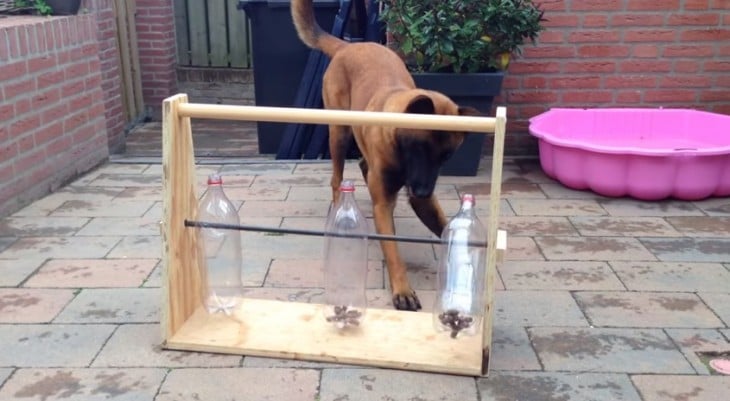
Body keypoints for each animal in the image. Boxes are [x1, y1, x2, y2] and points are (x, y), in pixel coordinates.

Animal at [290, 0, 478, 310]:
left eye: (446, 156)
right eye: (419, 148)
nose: (423, 190)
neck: (398, 147)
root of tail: (348, 46)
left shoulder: (422, 200)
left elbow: (443, 226)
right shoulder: (384, 205)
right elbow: (392, 251)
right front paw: (402, 289)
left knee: (362, 163)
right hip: (338, 134)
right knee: (336, 179)